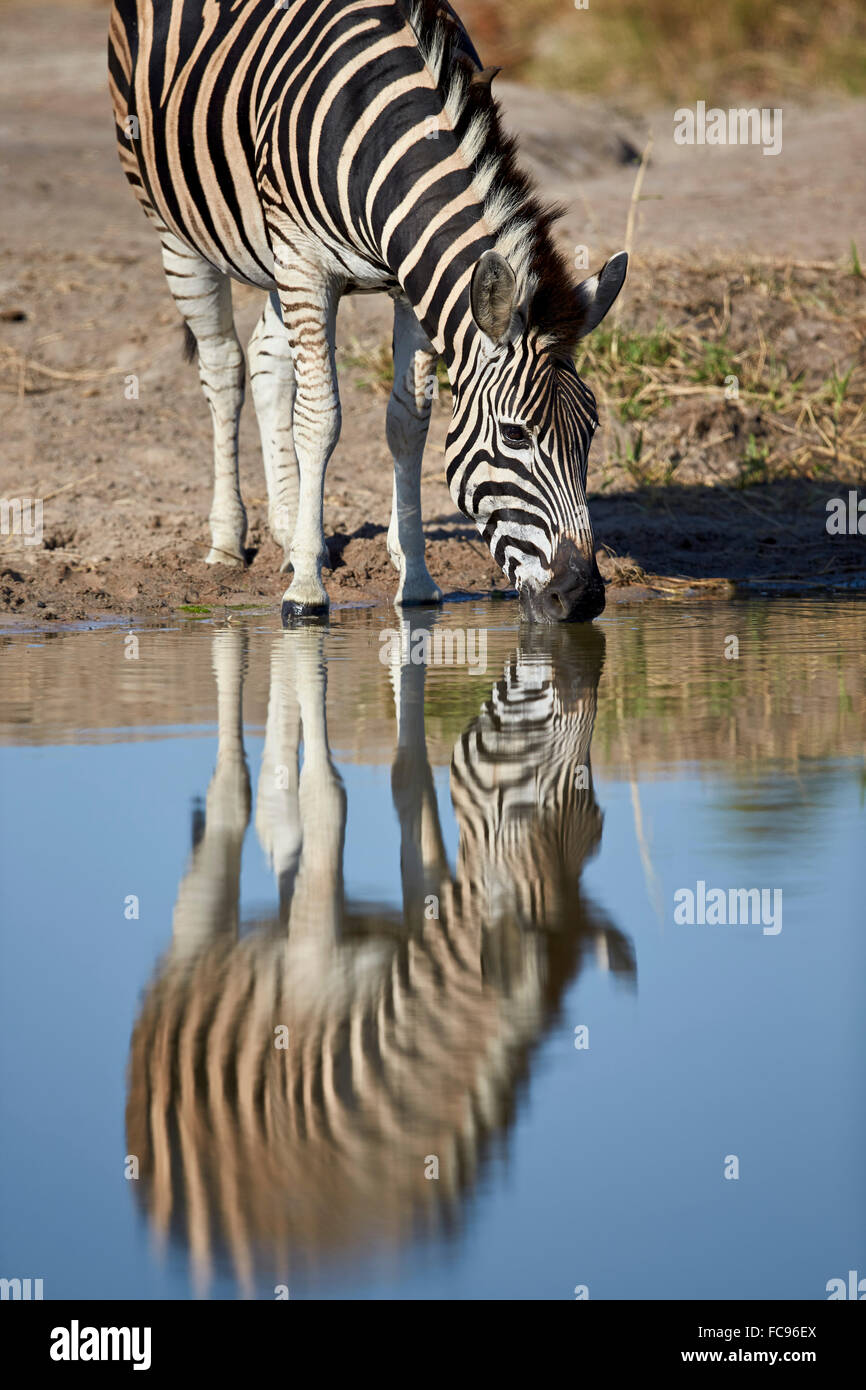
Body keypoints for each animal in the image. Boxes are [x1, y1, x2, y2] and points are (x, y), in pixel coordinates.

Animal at [108, 0, 627, 623]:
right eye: (516, 435)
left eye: (591, 430)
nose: (583, 597)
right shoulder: (306, 261)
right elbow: (320, 418)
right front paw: (306, 590)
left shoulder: (408, 283)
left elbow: (408, 424)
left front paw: (416, 582)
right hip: (177, 229)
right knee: (223, 368)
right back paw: (229, 542)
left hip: (271, 255)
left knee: (266, 360)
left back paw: (287, 531)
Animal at [126, 619, 634, 1293]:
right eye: (526, 807)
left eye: (598, 823)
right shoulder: (312, 968)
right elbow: (329, 796)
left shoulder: (427, 919)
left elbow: (407, 780)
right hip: (195, 942)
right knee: (230, 804)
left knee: (280, 826)